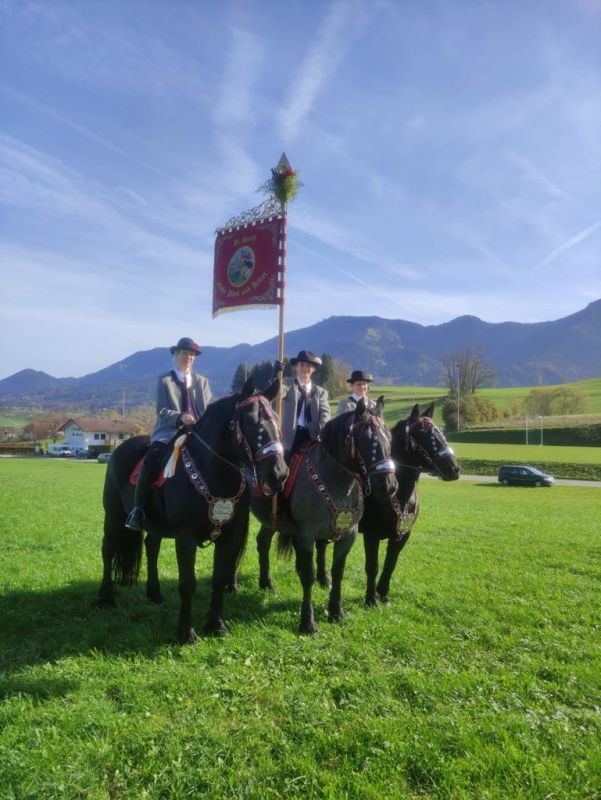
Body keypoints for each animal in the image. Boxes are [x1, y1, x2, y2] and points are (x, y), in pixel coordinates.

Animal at [98, 378, 288, 643]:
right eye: (250, 420)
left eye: (276, 418)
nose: (278, 474)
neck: (214, 473)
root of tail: (120, 448)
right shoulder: (185, 538)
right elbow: (187, 583)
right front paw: (186, 632)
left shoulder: (229, 537)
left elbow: (219, 579)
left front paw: (216, 625)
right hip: (113, 516)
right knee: (108, 550)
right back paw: (105, 597)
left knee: (151, 548)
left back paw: (154, 593)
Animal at [253, 397, 398, 634]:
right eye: (366, 440)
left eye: (389, 437)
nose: (389, 486)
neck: (338, 482)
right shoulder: (306, 535)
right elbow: (308, 575)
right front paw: (308, 623)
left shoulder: (349, 535)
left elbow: (338, 571)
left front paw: (336, 611)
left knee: (262, 541)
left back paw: (267, 583)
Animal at [357, 402, 460, 606]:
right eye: (422, 433)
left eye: (441, 431)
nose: (453, 468)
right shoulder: (371, 534)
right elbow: (372, 566)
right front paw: (371, 599)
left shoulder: (402, 535)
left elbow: (390, 563)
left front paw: (383, 593)